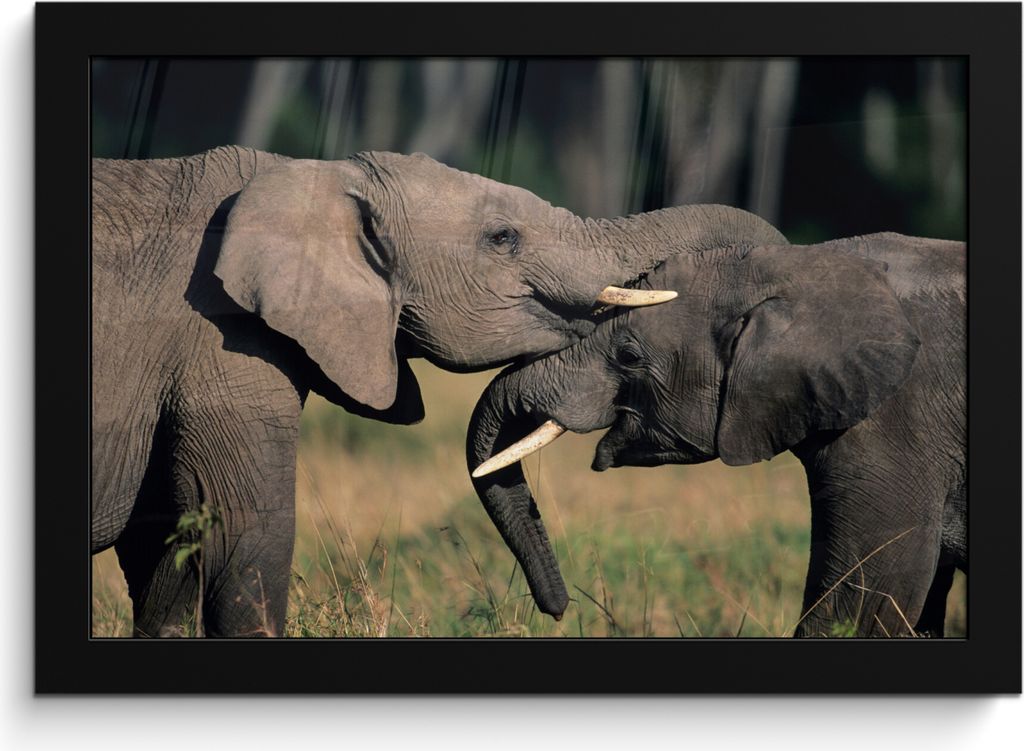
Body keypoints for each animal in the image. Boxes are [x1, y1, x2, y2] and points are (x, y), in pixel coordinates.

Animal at [92, 144, 786, 636]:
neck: (313, 177)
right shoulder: (221, 342)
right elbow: (242, 532)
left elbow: (166, 549)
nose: (560, 611)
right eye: (503, 238)